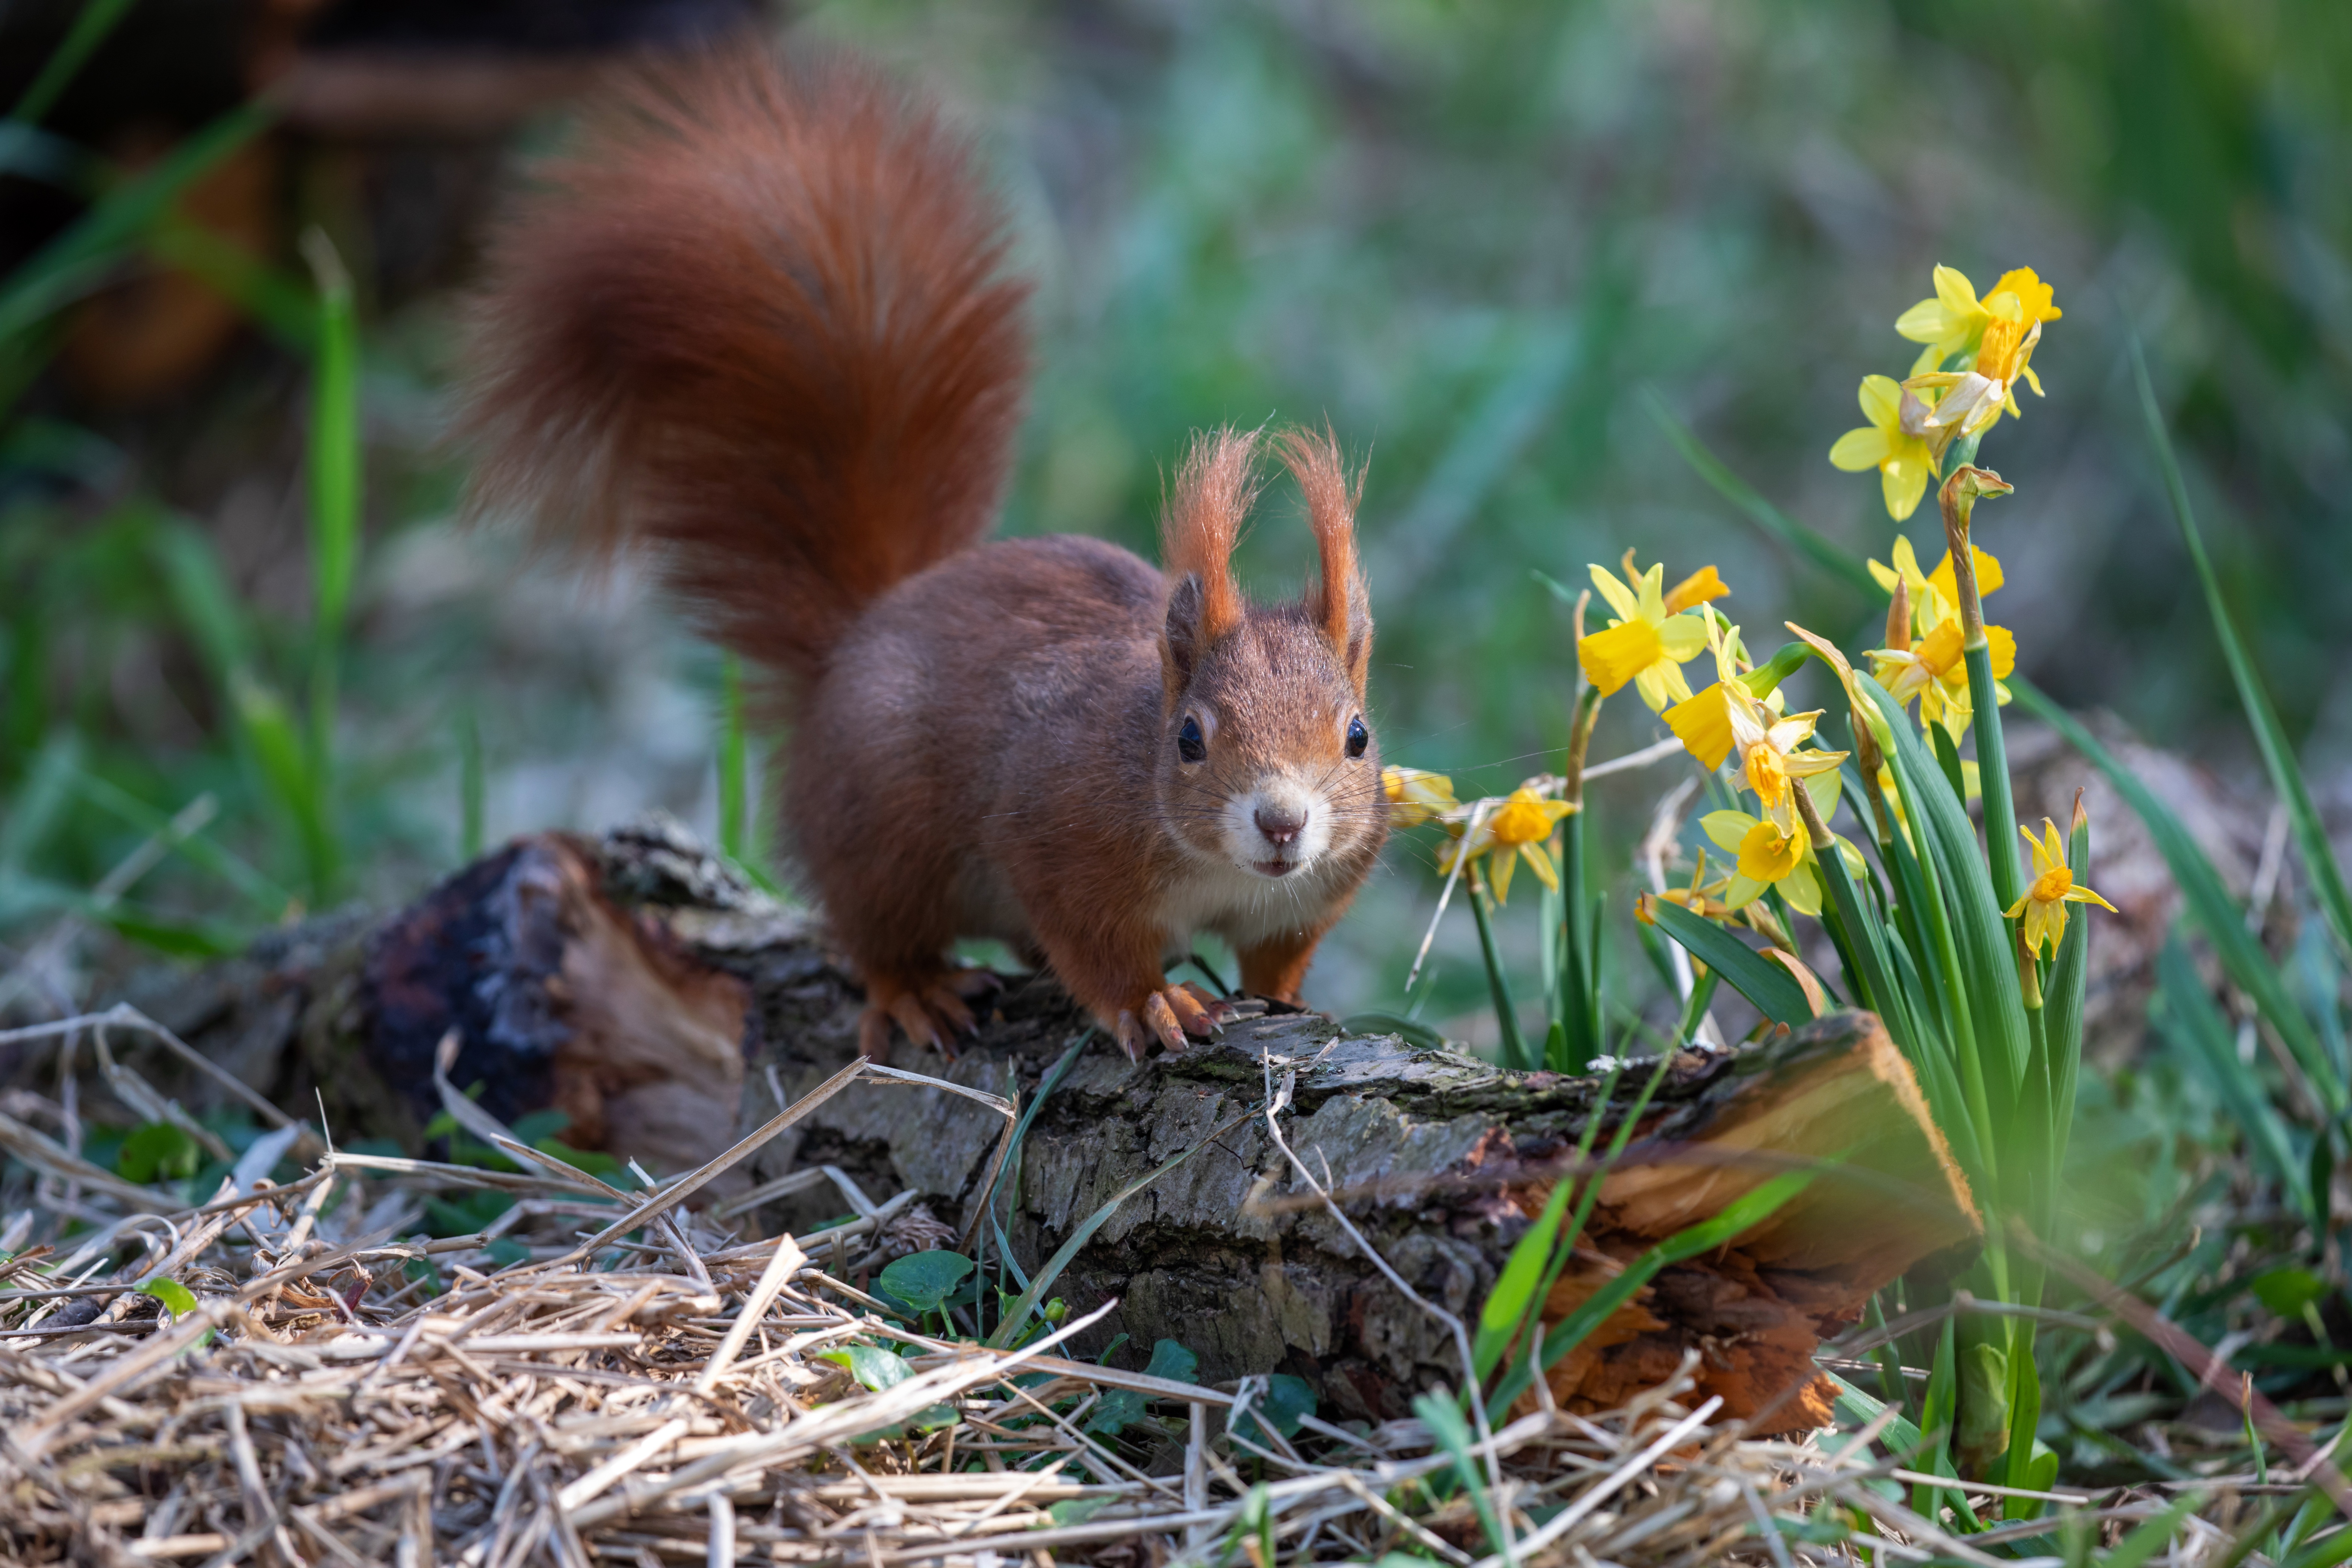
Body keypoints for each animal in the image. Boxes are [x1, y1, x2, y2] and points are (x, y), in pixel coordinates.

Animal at [456, 49, 1373, 1062]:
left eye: (1358, 736)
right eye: (1190, 739)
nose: (1283, 822)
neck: (1217, 866)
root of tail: (855, 640)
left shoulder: (1313, 893)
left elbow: (1281, 956)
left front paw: (1291, 1004)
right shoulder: (1061, 841)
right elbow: (1095, 946)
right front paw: (1152, 1003)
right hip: (881, 830)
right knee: (876, 930)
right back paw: (917, 991)